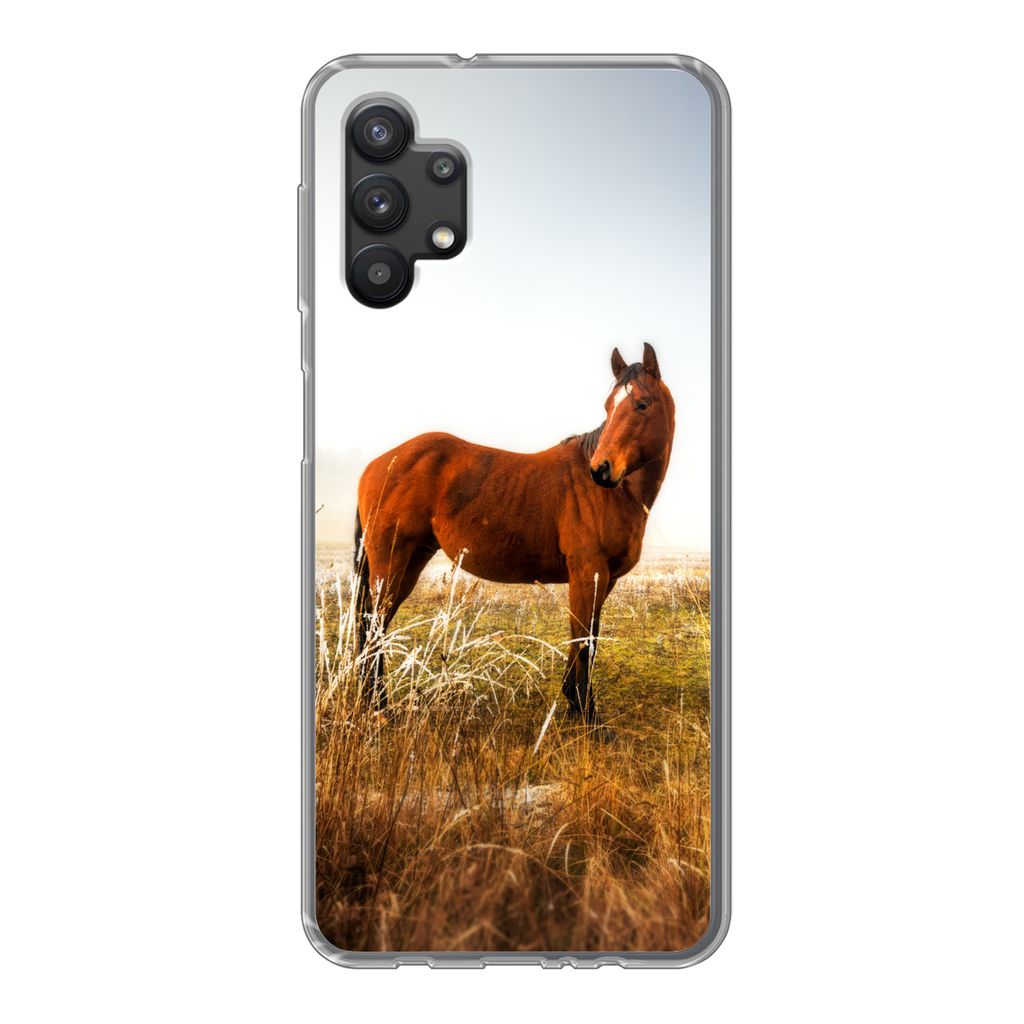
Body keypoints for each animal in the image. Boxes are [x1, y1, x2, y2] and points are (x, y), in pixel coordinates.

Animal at [353, 343, 675, 723]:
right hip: (390, 561)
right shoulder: (588, 572)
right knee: (374, 625)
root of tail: (377, 465)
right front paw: (585, 714)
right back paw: (379, 707)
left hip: (410, 560)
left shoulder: (604, 579)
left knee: (376, 624)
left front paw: (575, 704)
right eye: (609, 407)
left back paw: (375, 701)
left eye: (641, 404)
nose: (601, 469)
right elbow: (583, 640)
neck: (617, 494)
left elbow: (588, 637)